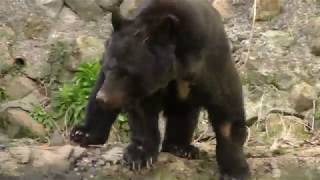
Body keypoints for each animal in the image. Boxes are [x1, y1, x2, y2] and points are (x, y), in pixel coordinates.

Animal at [70, 0, 250, 178]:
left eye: (127, 72)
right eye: (109, 68)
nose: (104, 98)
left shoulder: (211, 63)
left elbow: (226, 108)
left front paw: (235, 170)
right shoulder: (143, 85)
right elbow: (142, 114)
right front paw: (139, 156)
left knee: (185, 113)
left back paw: (182, 148)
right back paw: (83, 133)